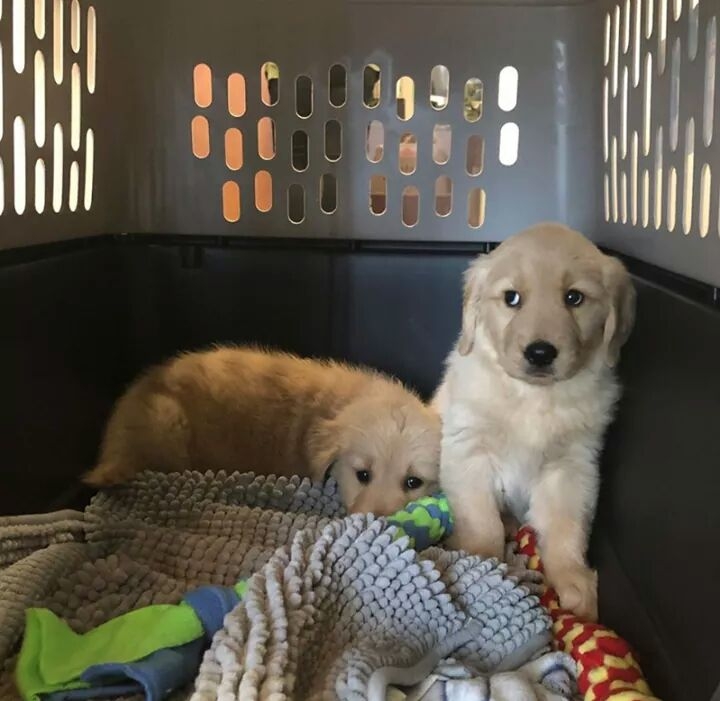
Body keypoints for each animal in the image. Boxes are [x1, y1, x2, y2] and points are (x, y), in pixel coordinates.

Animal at [434, 223, 636, 616]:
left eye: (574, 298)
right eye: (511, 298)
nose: (540, 353)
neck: (533, 398)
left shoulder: (572, 467)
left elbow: (565, 526)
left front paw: (573, 579)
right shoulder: (468, 452)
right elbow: (481, 520)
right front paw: (482, 565)